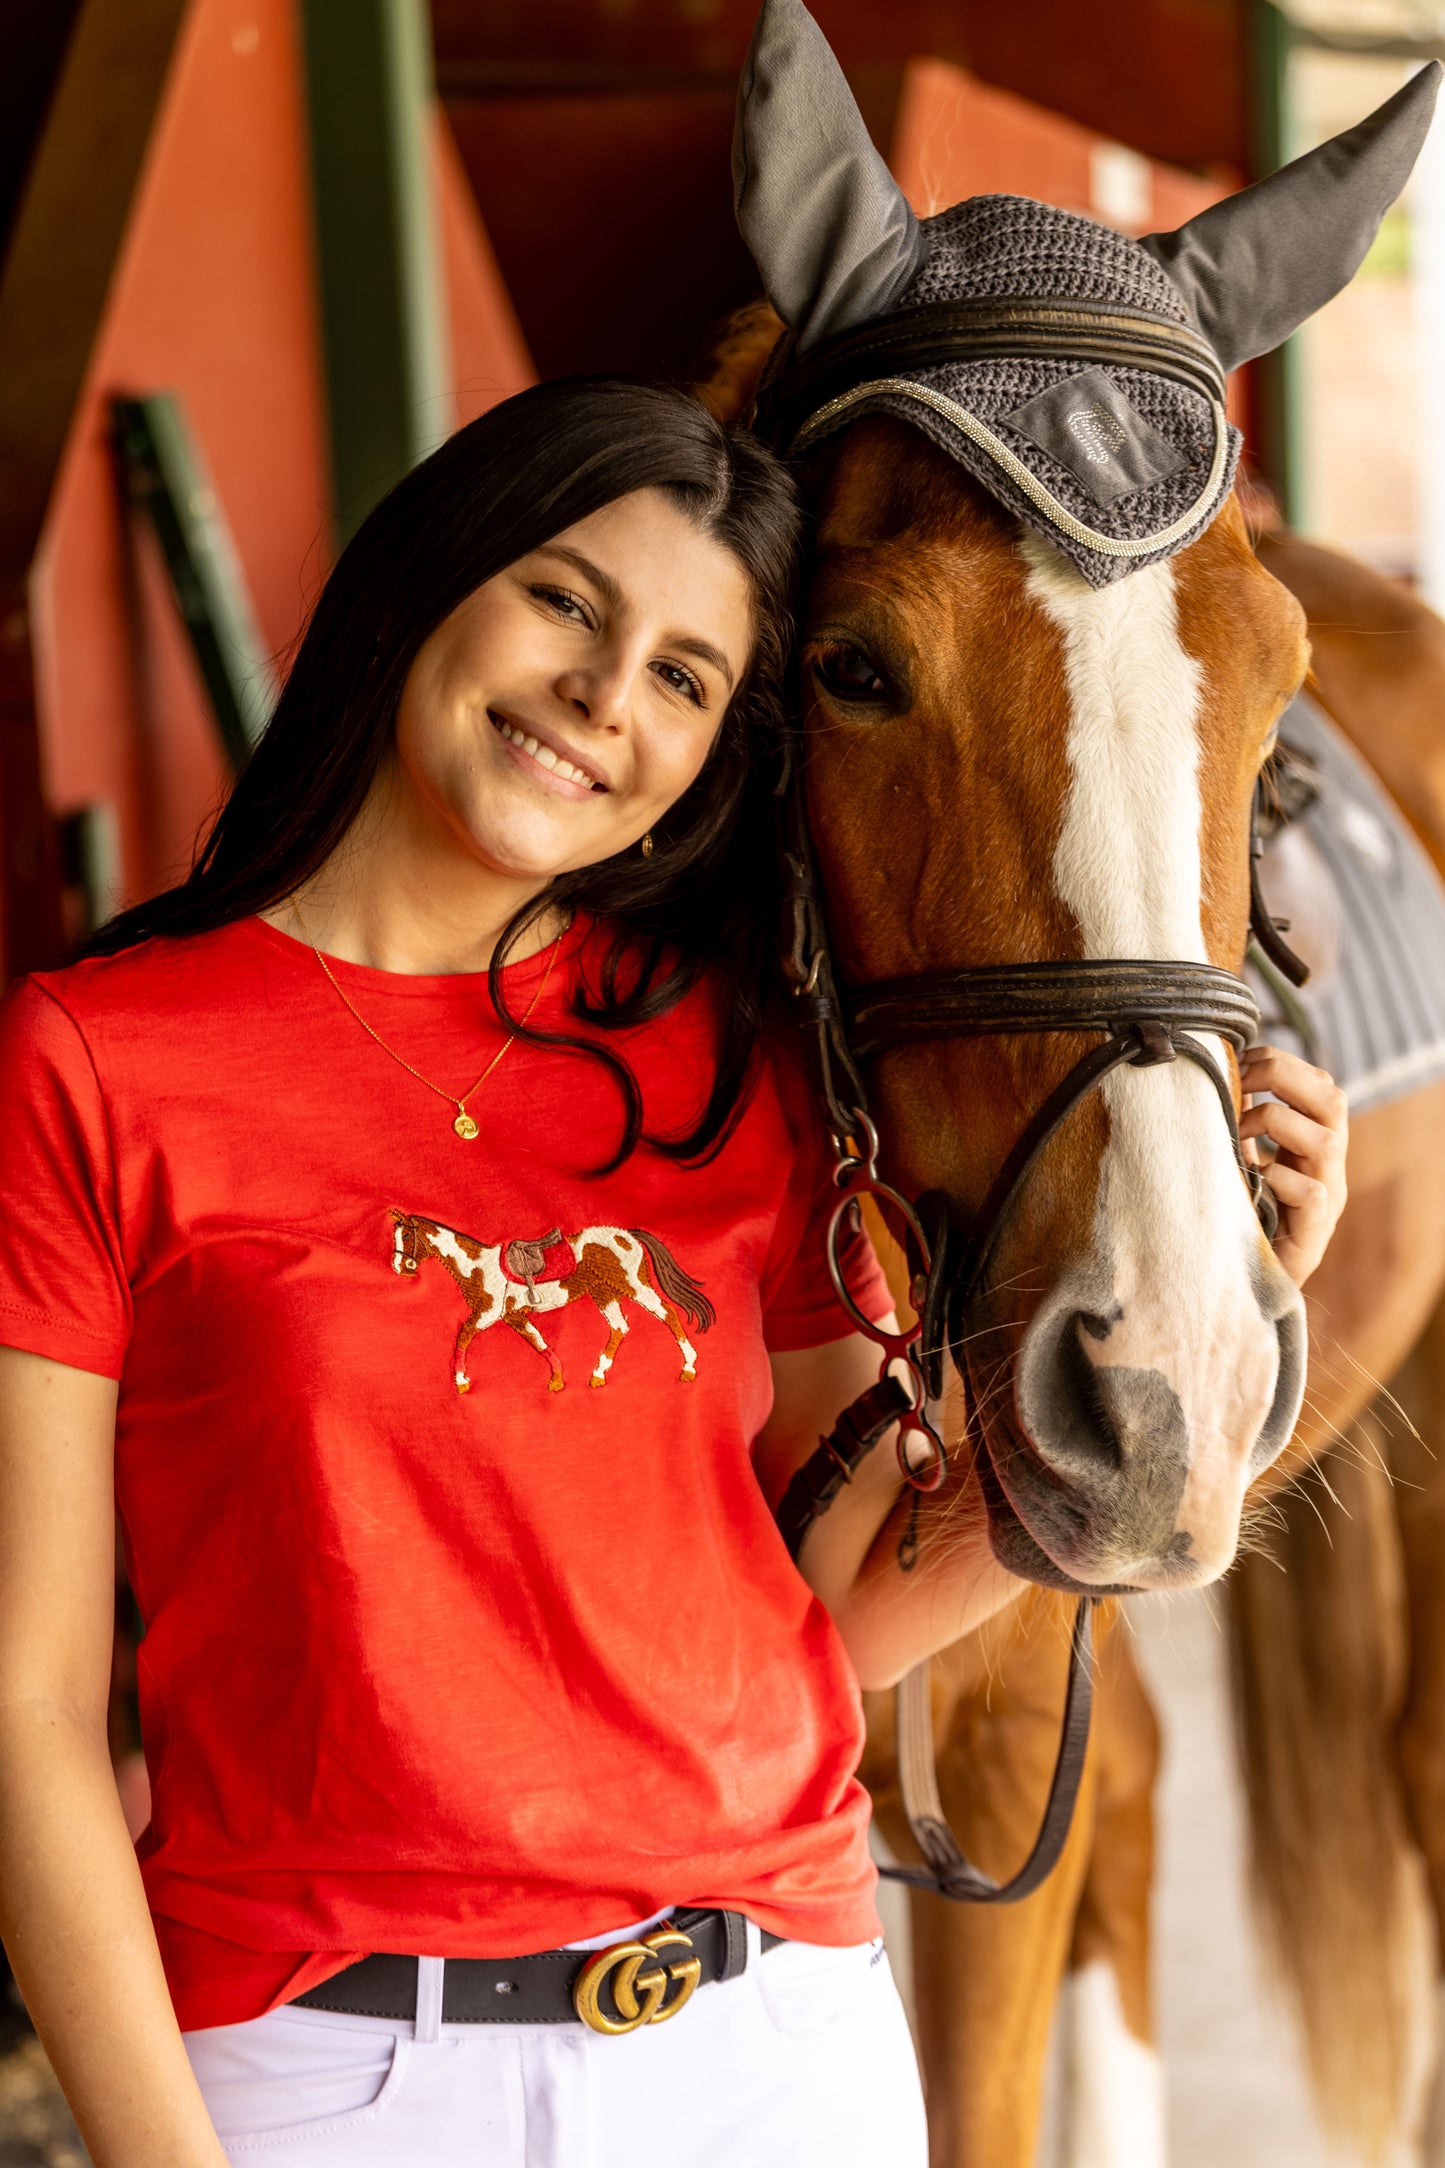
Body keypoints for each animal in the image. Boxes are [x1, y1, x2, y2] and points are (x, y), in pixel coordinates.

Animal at [389, 1211, 714, 1393]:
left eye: (407, 1236)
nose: (399, 1267)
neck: (478, 1266)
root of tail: (626, 1234)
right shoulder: (513, 1317)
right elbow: (539, 1342)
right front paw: (557, 1379)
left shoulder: (489, 1314)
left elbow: (463, 1337)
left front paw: (461, 1381)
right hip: (604, 1292)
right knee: (620, 1327)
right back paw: (598, 1374)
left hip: (633, 1284)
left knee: (667, 1312)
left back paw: (689, 1368)